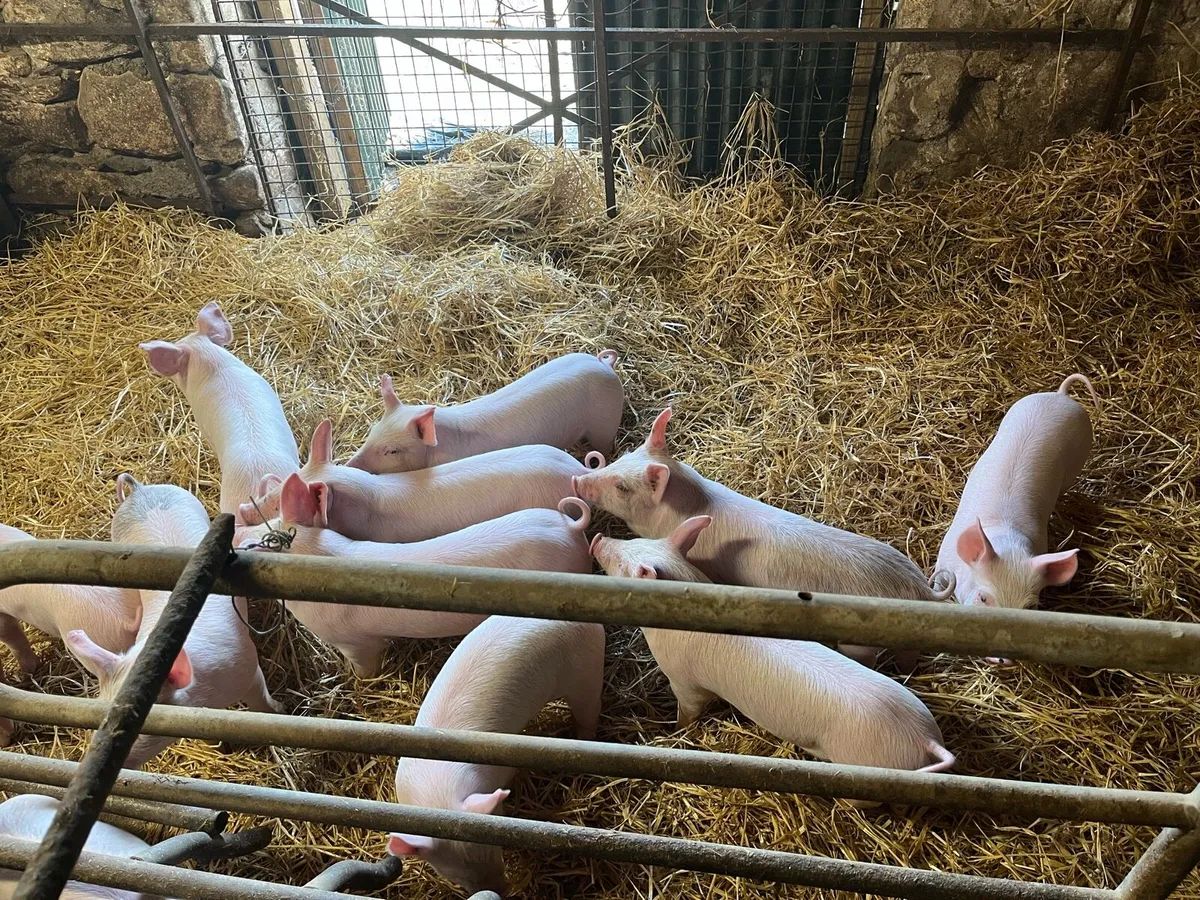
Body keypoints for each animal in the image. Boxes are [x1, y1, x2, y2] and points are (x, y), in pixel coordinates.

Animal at [66, 476, 280, 769]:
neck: (205, 694)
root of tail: (139, 490)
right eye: (99, 719)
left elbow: (262, 703)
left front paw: (280, 711)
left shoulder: (248, 668)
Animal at [235, 475, 594, 678]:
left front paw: (356, 681)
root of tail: (568, 526)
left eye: (251, 544)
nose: (236, 523)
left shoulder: (353, 642)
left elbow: (365, 667)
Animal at [387, 615, 605, 895]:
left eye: (494, 849)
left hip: (586, 672)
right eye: (454, 874)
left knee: (590, 711)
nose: (500, 891)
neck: (438, 792)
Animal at [571, 408, 952, 671]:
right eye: (623, 457)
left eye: (622, 486)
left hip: (859, 641)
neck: (687, 507)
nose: (577, 479)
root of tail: (919, 589)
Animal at [590, 519, 955, 783]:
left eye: (623, 565)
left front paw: (676, 731)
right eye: (631, 543)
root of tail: (925, 739)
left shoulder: (683, 678)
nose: (596, 538)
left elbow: (689, 709)